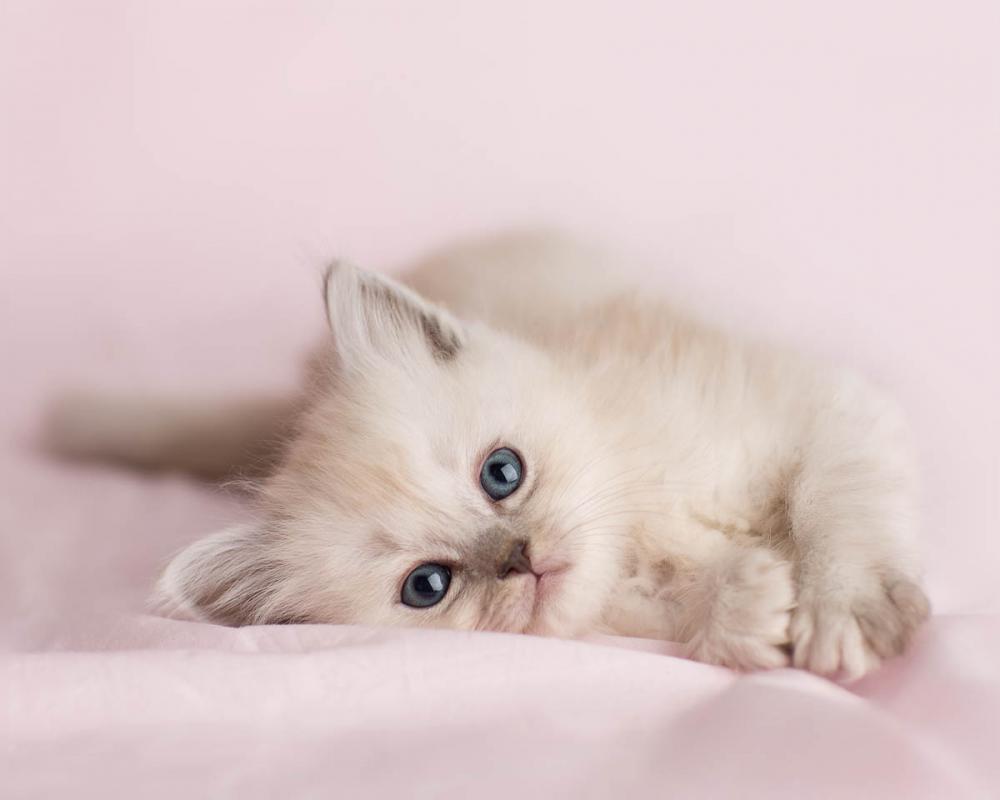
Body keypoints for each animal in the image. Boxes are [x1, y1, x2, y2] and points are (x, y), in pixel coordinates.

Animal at [49, 232, 929, 678]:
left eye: (501, 474)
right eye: (428, 586)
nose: (519, 558)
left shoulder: (826, 406)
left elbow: (833, 508)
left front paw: (841, 609)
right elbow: (692, 606)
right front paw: (743, 613)